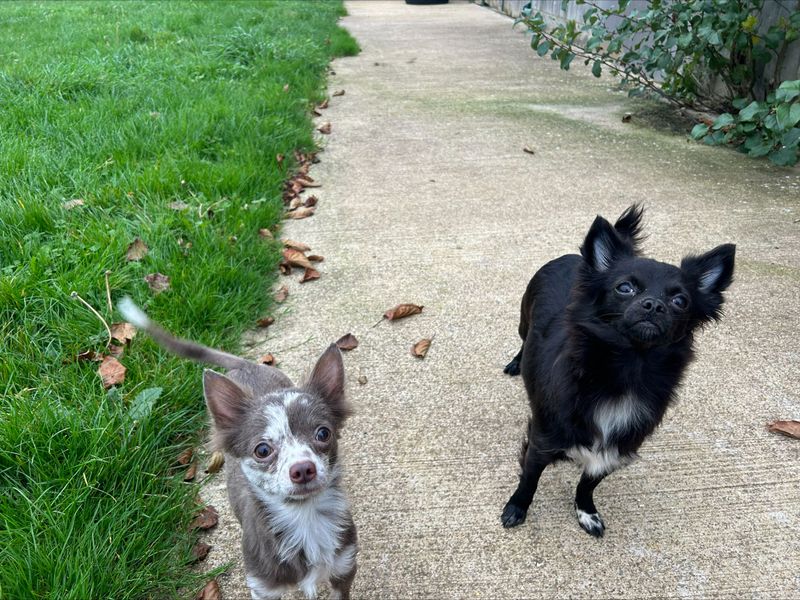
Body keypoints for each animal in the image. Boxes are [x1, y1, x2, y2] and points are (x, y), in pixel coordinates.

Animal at [504, 207, 736, 540]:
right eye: (625, 288)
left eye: (680, 301)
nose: (654, 305)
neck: (626, 370)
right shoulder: (541, 441)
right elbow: (529, 481)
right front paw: (516, 508)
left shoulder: (614, 452)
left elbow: (587, 485)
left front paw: (586, 512)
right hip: (524, 321)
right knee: (523, 341)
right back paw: (515, 363)